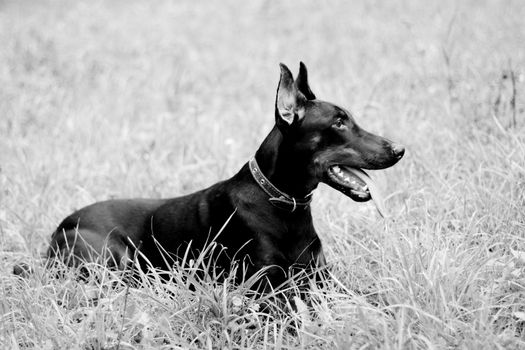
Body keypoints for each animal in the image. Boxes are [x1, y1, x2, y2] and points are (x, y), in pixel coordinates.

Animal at [43, 63, 404, 292]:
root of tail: (59, 227)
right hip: (113, 258)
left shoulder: (321, 277)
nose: (400, 149)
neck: (282, 201)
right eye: (339, 123)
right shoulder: (264, 285)